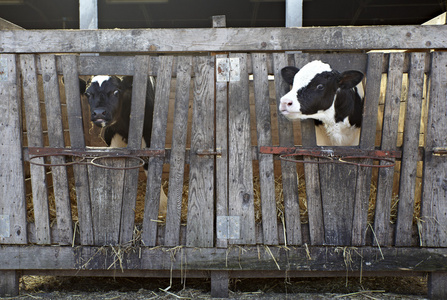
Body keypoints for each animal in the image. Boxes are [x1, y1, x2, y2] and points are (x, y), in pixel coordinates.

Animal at [81, 75, 168, 216]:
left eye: (116, 91)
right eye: (88, 93)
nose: (99, 113)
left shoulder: (149, 134)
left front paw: (162, 204)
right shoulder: (111, 135)